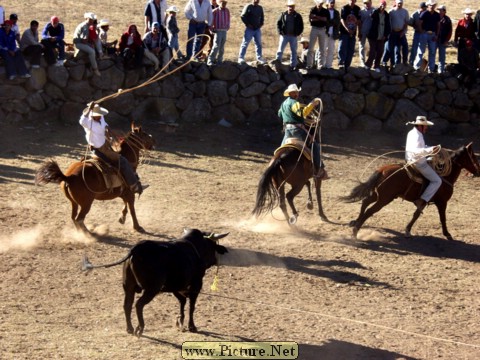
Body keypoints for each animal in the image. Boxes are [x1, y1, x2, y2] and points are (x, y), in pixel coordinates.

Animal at [82, 229, 229, 336]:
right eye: (214, 246)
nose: (215, 261)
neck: (195, 248)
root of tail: (136, 249)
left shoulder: (176, 287)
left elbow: (182, 302)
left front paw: (180, 321)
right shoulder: (196, 285)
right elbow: (191, 305)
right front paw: (191, 326)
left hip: (128, 287)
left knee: (127, 305)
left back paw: (130, 328)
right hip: (151, 289)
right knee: (139, 305)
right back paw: (140, 328)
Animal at [344, 142, 480, 240]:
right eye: (473, 156)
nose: (478, 172)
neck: (446, 177)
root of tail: (382, 170)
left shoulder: (424, 202)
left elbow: (416, 214)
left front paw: (408, 230)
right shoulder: (442, 202)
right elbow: (443, 218)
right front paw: (447, 234)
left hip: (378, 195)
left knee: (365, 202)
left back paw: (355, 222)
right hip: (384, 198)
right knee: (369, 210)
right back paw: (355, 231)